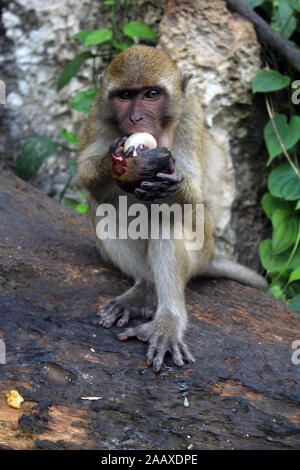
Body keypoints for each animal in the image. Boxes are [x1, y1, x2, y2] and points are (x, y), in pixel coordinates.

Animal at [77, 46, 268, 372]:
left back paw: (167, 321)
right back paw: (143, 290)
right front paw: (118, 159)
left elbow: (195, 200)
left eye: (152, 94)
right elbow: (88, 175)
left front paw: (172, 183)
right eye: (125, 96)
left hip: (200, 253)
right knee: (107, 206)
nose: (136, 118)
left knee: (168, 217)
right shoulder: (99, 110)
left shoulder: (191, 115)